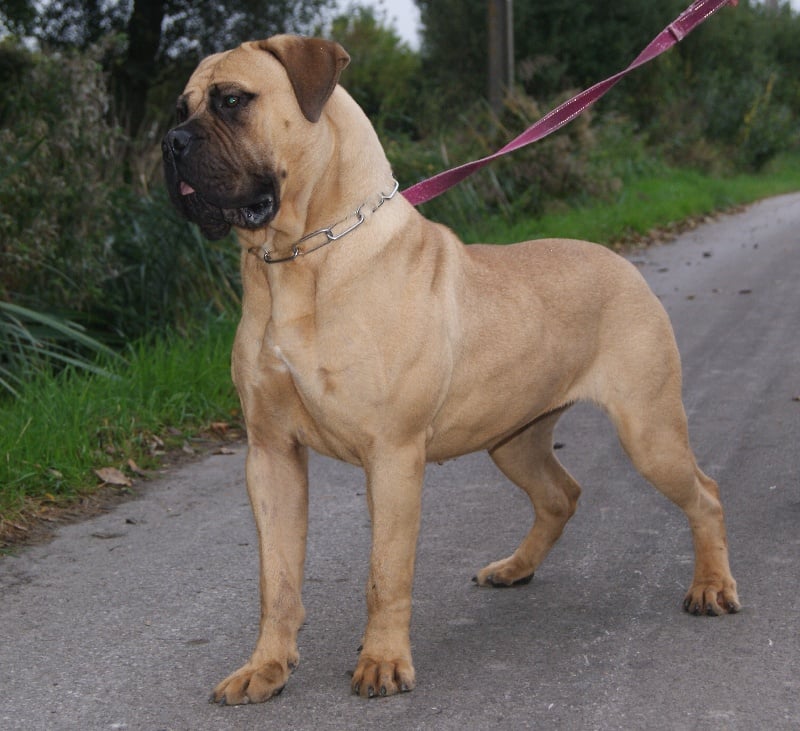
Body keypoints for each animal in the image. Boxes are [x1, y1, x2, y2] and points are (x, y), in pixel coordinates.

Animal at [161, 37, 736, 708]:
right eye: (180, 108)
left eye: (233, 101)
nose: (171, 143)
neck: (298, 258)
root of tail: (622, 261)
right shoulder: (272, 455)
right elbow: (275, 581)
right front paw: (266, 667)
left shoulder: (392, 456)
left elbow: (385, 574)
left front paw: (383, 663)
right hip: (514, 437)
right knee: (560, 494)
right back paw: (515, 568)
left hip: (649, 431)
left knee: (705, 493)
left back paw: (711, 587)